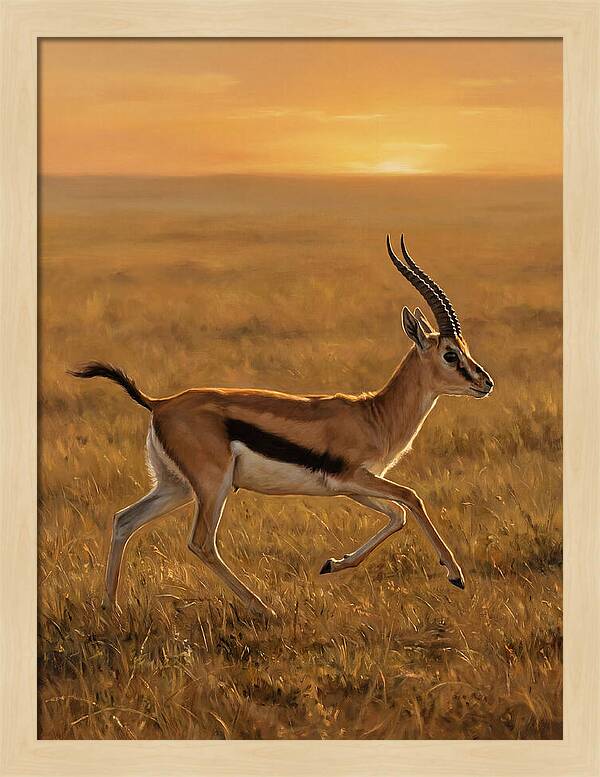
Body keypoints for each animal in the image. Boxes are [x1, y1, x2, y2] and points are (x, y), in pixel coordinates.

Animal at [70, 234, 493, 618]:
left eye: (465, 349)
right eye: (450, 354)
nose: (485, 382)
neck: (374, 415)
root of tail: (159, 403)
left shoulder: (349, 486)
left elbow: (397, 515)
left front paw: (333, 564)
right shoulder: (354, 477)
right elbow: (411, 498)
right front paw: (455, 574)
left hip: (176, 486)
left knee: (124, 520)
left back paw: (110, 607)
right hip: (212, 486)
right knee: (201, 543)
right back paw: (264, 608)